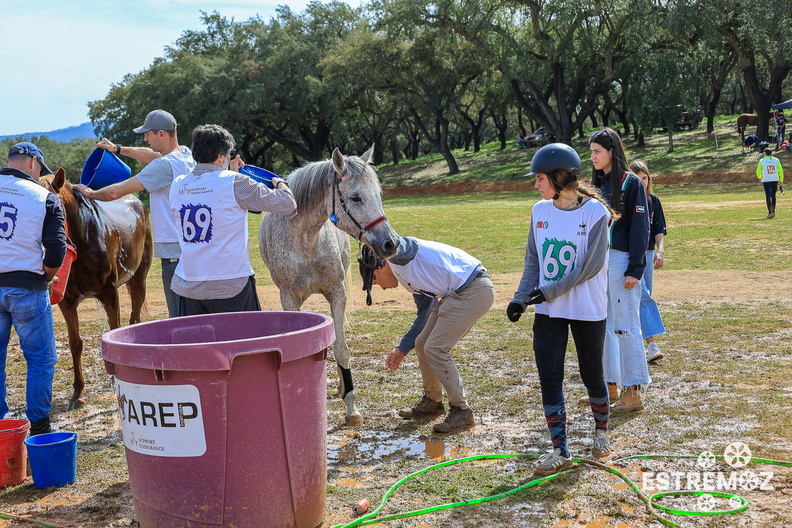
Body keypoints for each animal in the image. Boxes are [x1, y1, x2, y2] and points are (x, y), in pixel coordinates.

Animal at [39, 167, 153, 410]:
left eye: (56, 211)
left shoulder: (109, 294)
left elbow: (113, 333)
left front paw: (114, 377)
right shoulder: (67, 302)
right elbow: (75, 344)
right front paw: (77, 393)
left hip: (138, 280)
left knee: (135, 319)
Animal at [258, 145, 400, 424]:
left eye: (378, 195)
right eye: (356, 198)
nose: (391, 243)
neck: (306, 240)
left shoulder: (337, 293)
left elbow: (341, 349)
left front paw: (351, 408)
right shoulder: (288, 299)